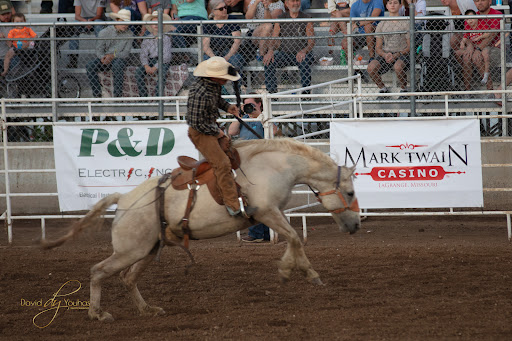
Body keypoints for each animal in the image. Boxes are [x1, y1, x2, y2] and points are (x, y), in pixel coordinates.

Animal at [42, 137, 358, 320]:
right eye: (351, 192)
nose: (355, 225)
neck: (274, 166)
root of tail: (124, 199)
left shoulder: (275, 213)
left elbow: (294, 239)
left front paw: (307, 272)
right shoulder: (266, 212)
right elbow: (294, 237)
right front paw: (290, 271)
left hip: (147, 249)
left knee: (128, 278)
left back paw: (147, 310)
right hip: (130, 250)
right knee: (98, 271)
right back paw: (98, 314)